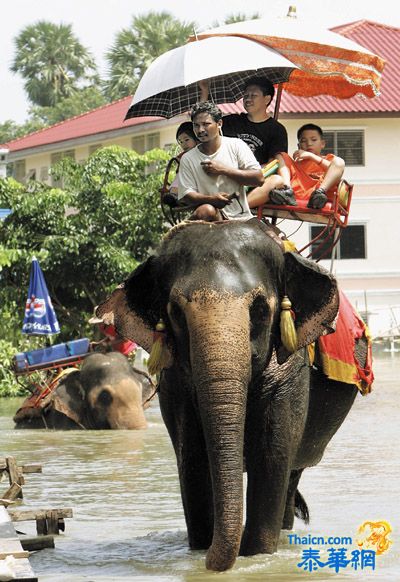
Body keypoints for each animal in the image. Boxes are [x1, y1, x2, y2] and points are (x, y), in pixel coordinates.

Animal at [96, 220, 362, 576]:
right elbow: (192, 459)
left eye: (261, 309)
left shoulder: (291, 369)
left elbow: (271, 457)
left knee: (292, 474)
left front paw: (257, 556)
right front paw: (199, 549)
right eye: (175, 312)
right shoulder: (174, 382)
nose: (211, 562)